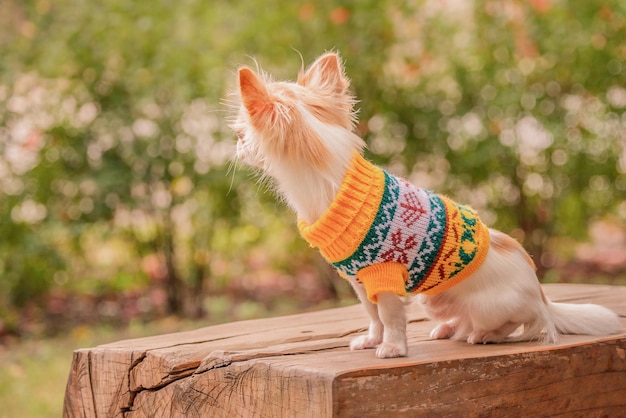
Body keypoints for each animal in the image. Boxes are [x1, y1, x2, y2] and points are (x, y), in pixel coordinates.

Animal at [229, 51, 620, 360]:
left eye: (242, 135)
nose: (236, 145)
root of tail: (542, 294)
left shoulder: (385, 275)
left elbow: (389, 316)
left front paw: (392, 348)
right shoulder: (358, 279)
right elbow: (371, 313)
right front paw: (371, 340)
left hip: (492, 307)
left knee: (520, 323)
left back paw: (485, 335)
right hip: (434, 301)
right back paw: (449, 328)